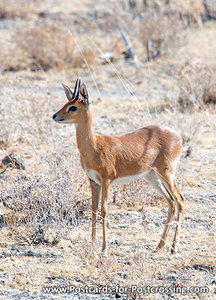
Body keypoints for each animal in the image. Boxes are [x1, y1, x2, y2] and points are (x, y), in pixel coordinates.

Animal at [52, 78, 184, 253]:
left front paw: (104, 248)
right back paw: (160, 246)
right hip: (152, 176)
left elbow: (104, 211)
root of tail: (178, 135)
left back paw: (173, 248)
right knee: (171, 203)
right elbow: (93, 210)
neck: (94, 146)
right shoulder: (93, 181)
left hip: (166, 173)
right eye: (67, 102)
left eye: (73, 107)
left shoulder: (106, 180)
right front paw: (92, 243)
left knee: (180, 201)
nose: (55, 116)